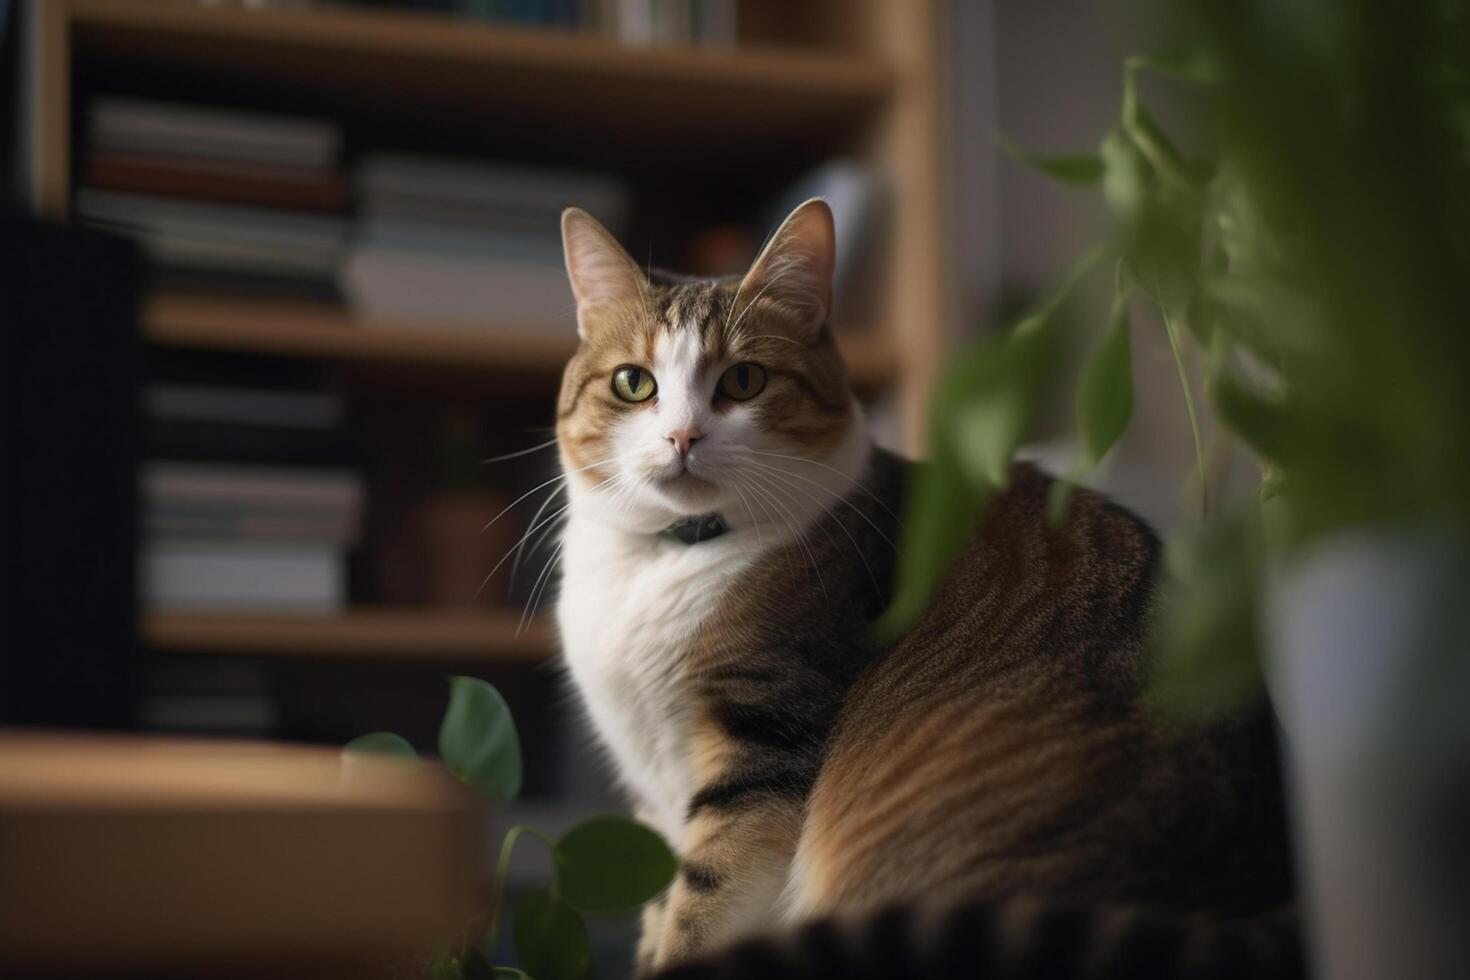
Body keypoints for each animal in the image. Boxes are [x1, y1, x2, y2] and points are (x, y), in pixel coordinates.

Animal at [552, 201, 1299, 980]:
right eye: (634, 383)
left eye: (745, 380)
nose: (682, 437)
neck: (666, 554)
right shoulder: (653, 799)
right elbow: (658, 906)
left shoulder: (764, 741)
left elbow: (701, 906)